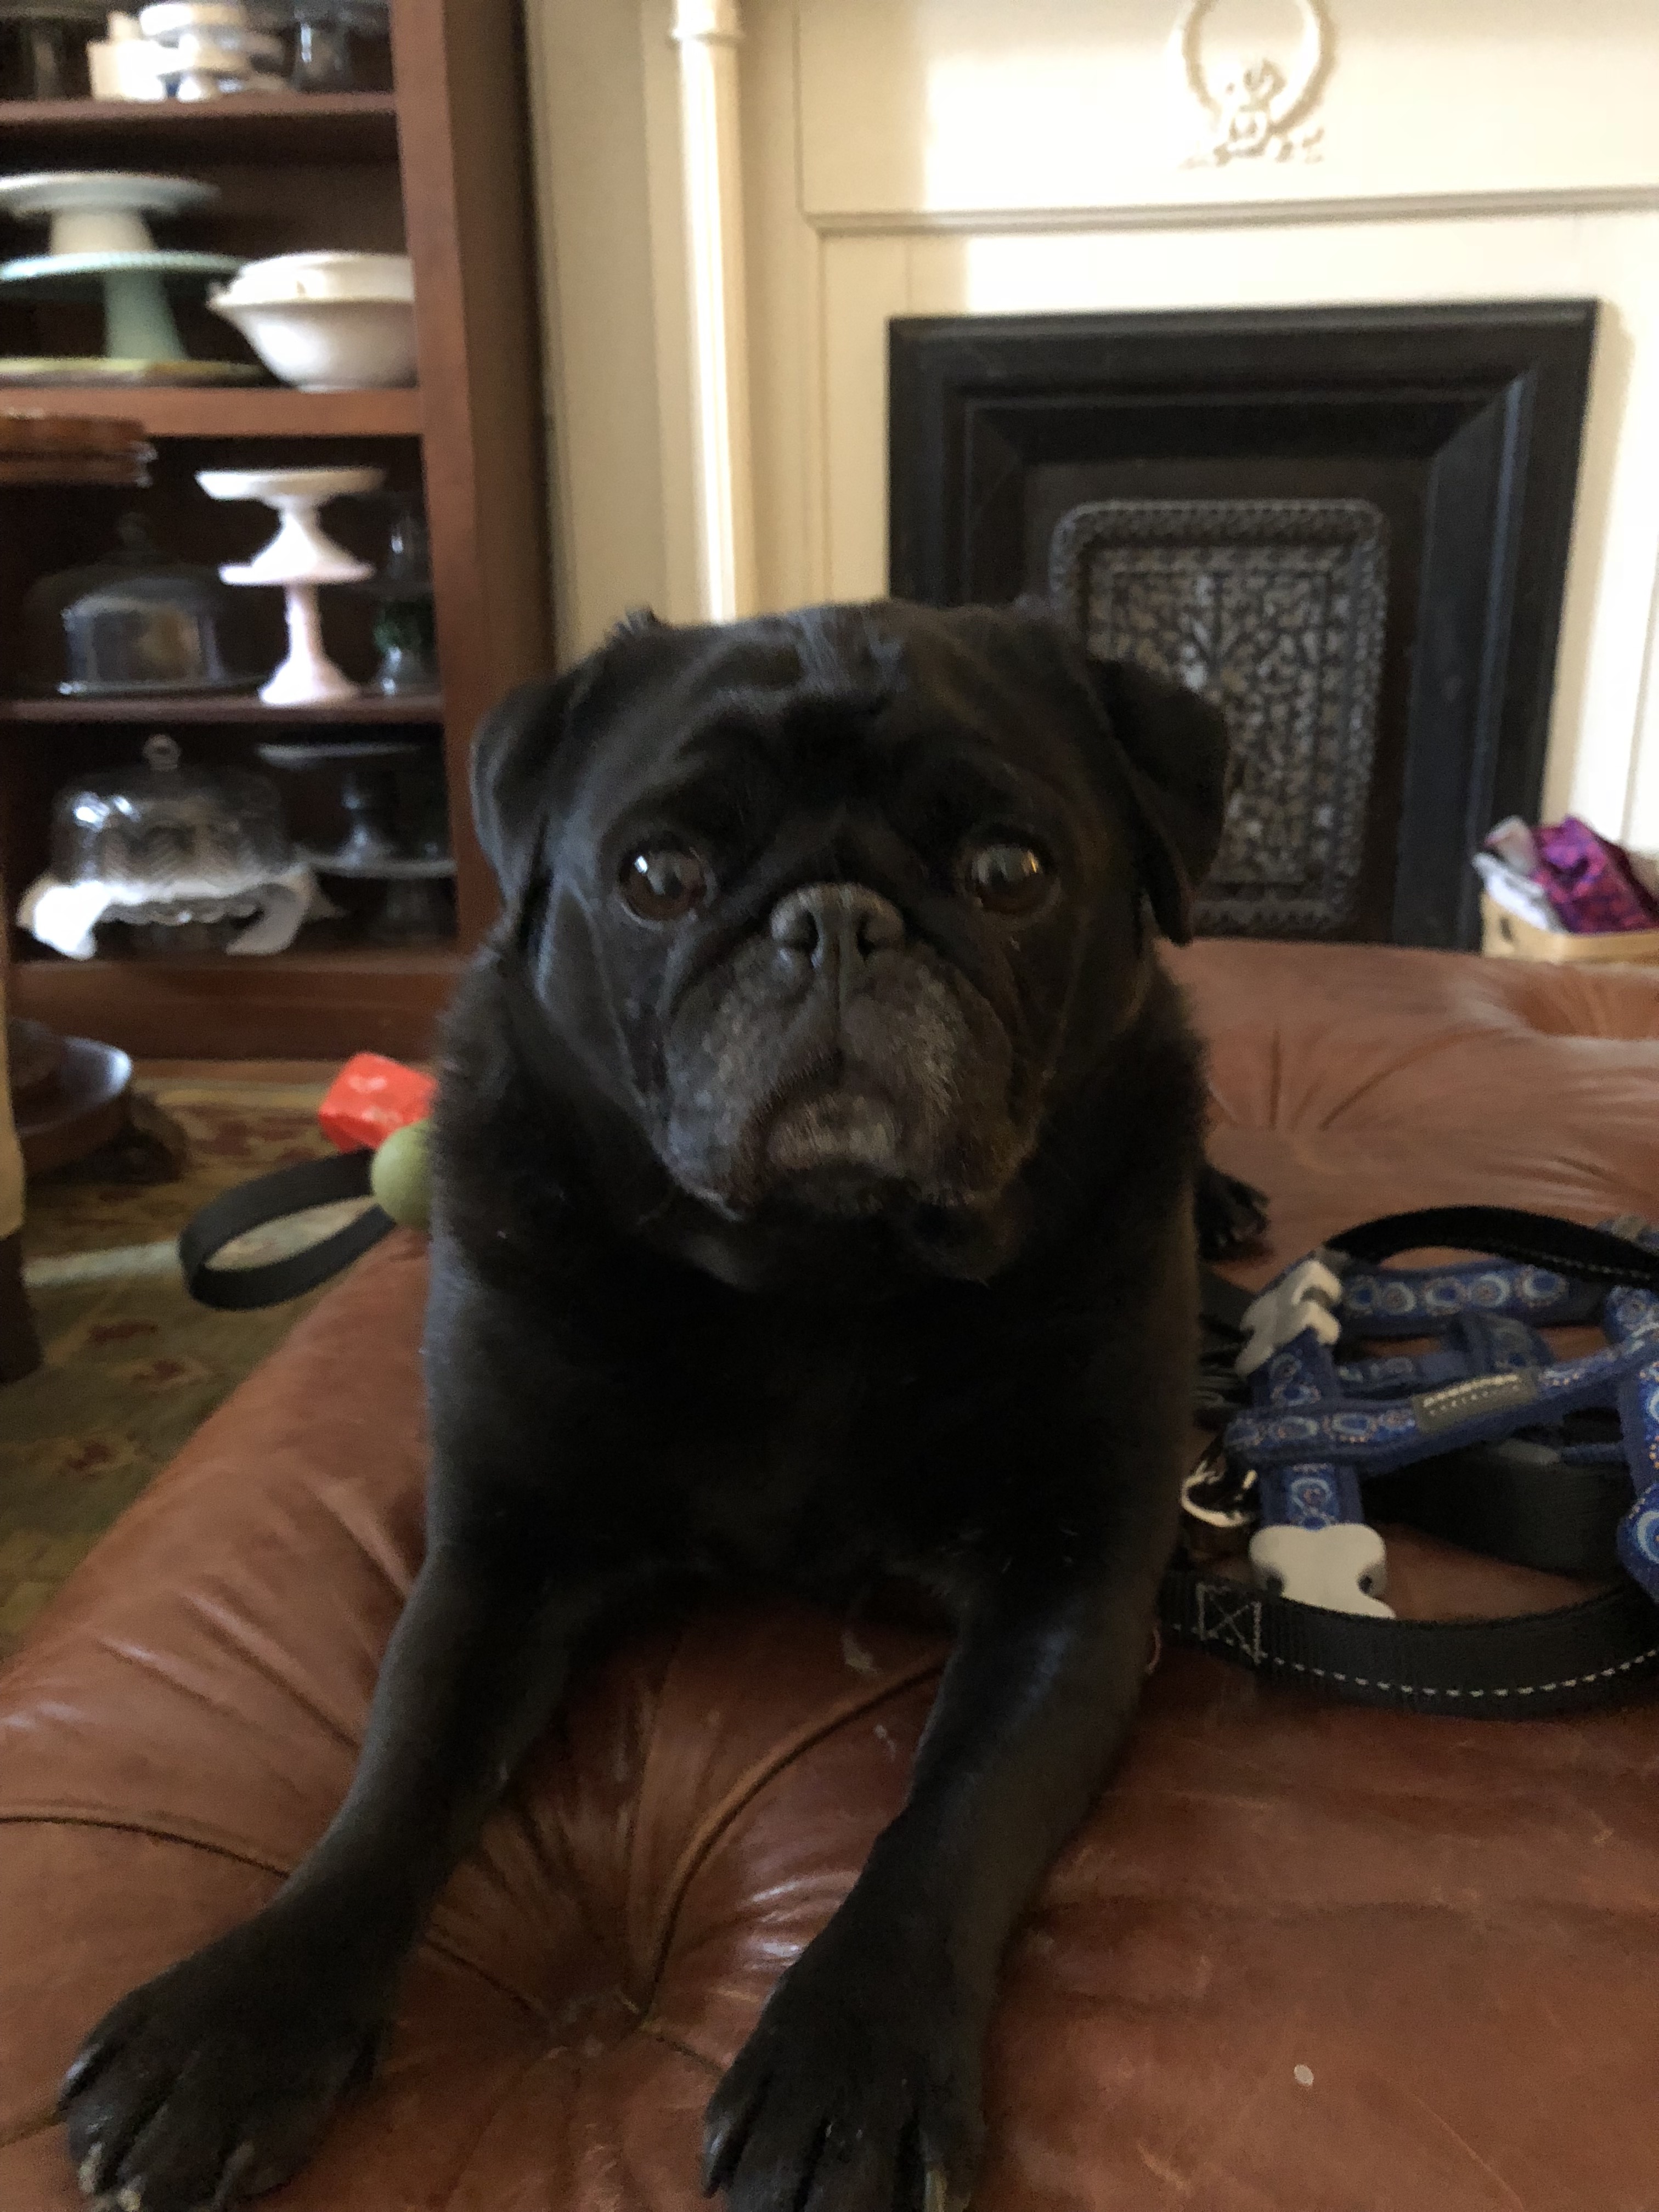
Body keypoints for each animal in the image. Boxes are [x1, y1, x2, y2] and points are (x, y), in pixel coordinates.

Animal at [60, 597, 1247, 2212]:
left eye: (1012, 871)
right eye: (656, 877)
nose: (832, 922)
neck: (817, 1276)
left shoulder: (1073, 1593)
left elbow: (953, 1816)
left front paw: (850, 2060)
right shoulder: (499, 1559)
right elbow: (397, 1780)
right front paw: (245, 2017)